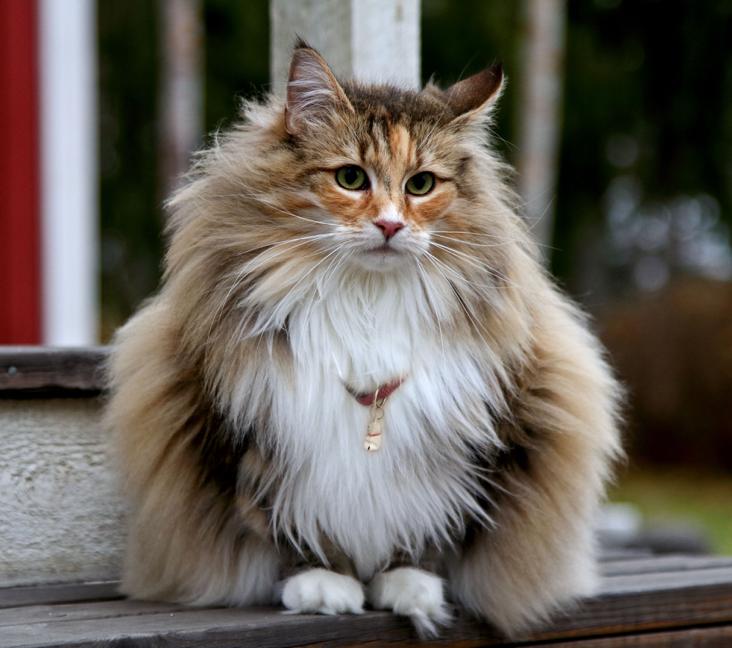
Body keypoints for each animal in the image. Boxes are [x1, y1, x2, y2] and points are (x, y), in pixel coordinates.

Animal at [106, 40, 624, 636]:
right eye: (351, 179)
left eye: (420, 185)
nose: (390, 226)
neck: (367, 301)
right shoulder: (252, 437)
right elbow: (286, 525)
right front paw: (324, 585)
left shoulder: (472, 442)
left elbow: (432, 528)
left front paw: (409, 585)